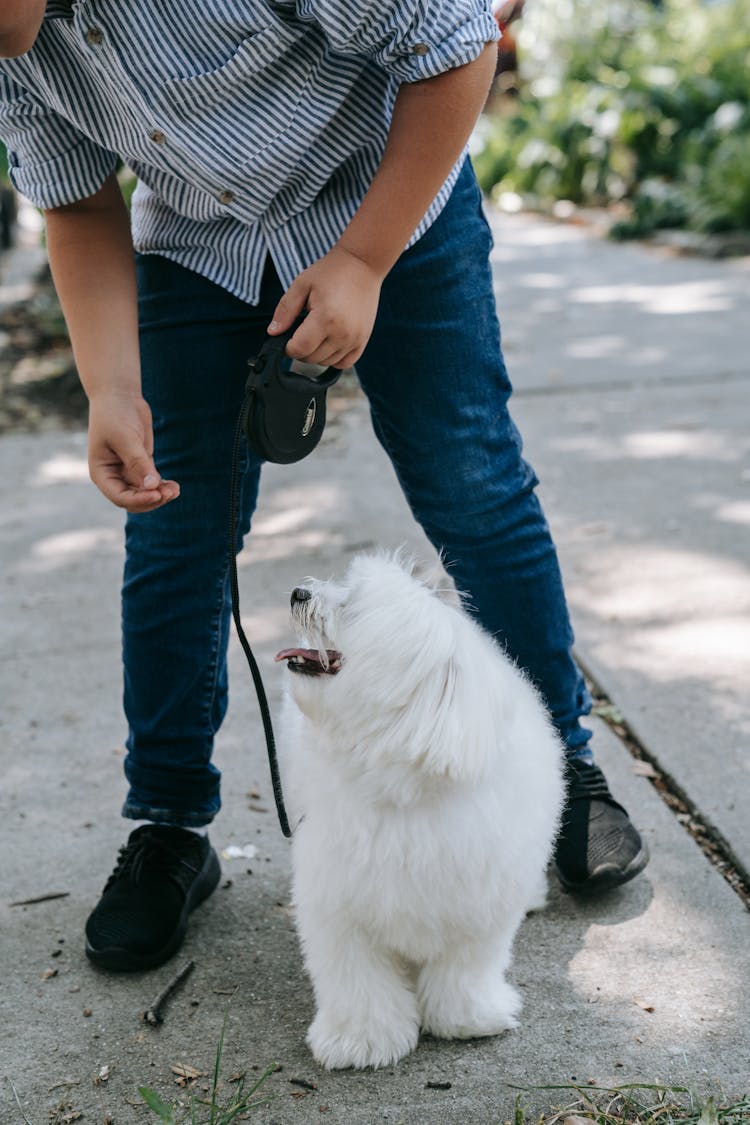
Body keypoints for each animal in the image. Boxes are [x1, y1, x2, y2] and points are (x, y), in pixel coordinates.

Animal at [275, 553, 562, 1071]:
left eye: (353, 607)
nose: (299, 593)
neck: (405, 786)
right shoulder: (339, 903)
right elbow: (357, 979)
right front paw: (361, 1039)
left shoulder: (480, 904)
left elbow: (465, 969)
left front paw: (466, 1018)